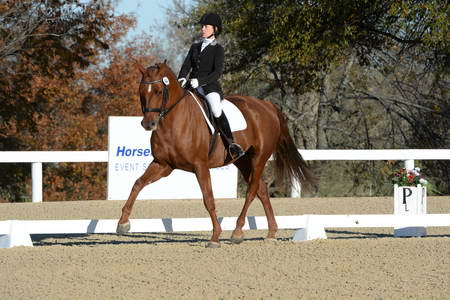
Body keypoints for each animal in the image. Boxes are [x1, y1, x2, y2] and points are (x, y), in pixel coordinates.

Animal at [116, 61, 314, 248]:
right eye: (141, 91)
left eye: (158, 91)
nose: (148, 124)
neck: (173, 122)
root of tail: (268, 105)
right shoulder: (163, 165)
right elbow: (138, 184)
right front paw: (123, 223)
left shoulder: (200, 166)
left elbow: (208, 199)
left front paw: (215, 237)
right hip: (242, 160)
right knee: (262, 190)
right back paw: (271, 233)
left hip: (259, 158)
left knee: (251, 191)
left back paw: (237, 232)